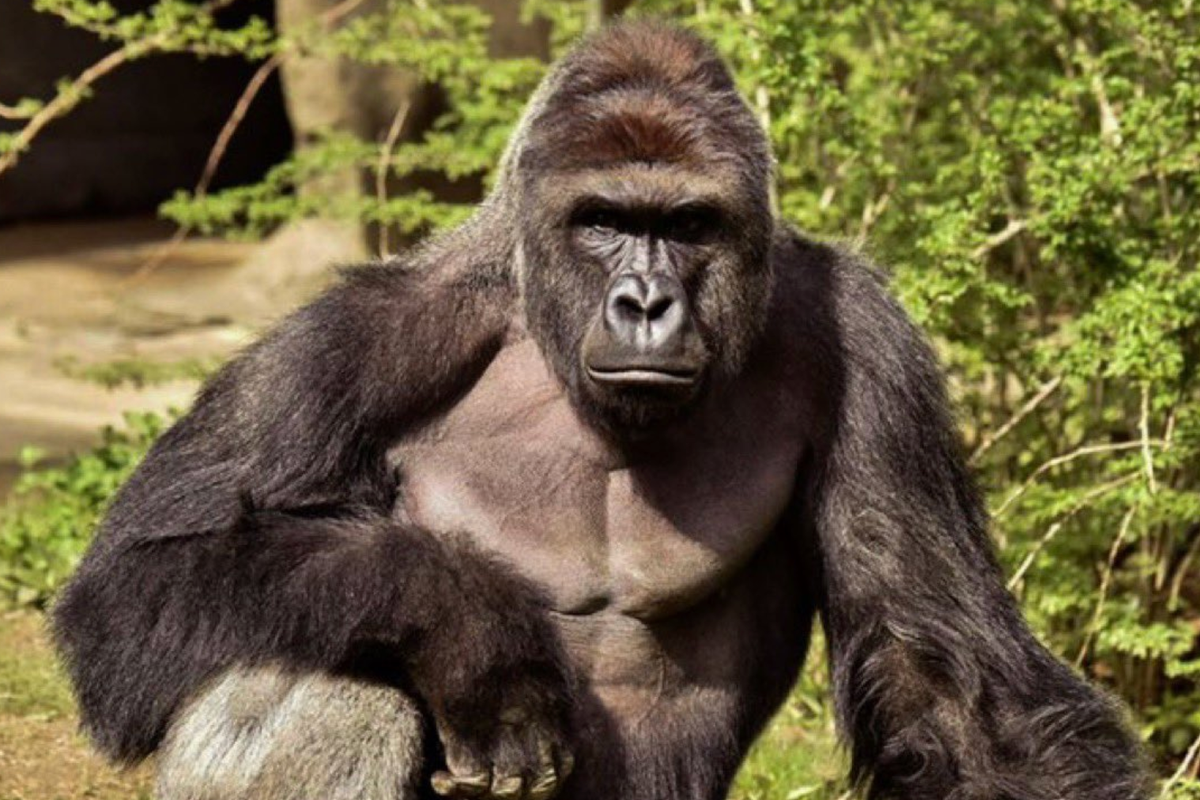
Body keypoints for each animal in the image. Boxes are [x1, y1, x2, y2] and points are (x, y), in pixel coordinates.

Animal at [53, 20, 1149, 800]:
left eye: (689, 224)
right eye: (605, 220)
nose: (647, 303)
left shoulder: (871, 351)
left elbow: (952, 687)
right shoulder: (354, 340)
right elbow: (131, 587)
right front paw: (469, 623)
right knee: (331, 675)